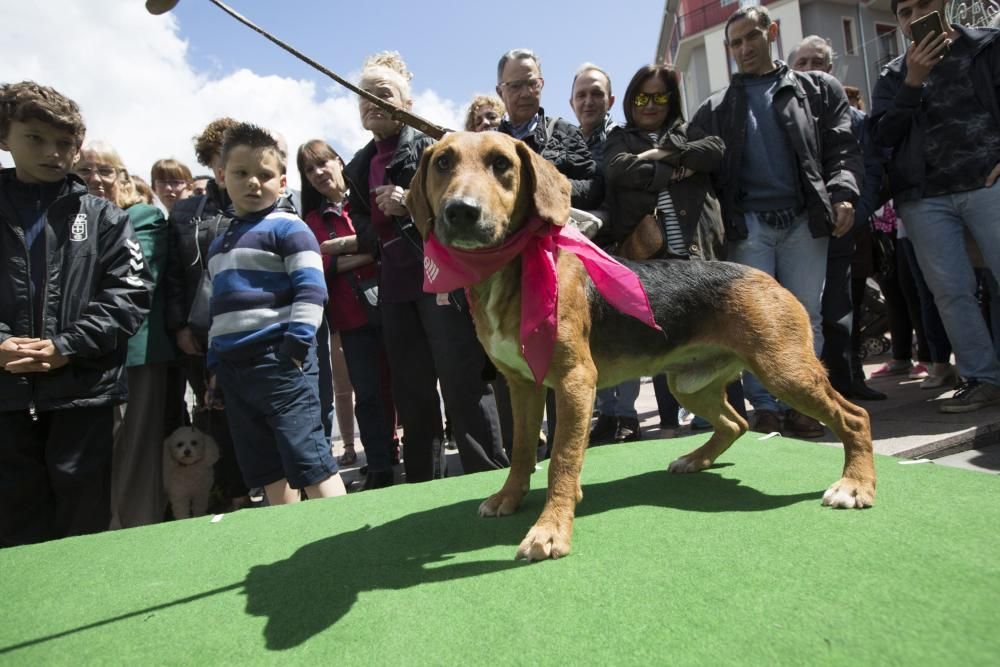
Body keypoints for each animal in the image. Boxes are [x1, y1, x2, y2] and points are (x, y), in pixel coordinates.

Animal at [406, 132, 876, 564]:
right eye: (443, 162)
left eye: (501, 163)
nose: (460, 211)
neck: (511, 269)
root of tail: (766, 277)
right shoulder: (522, 385)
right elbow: (523, 450)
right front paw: (509, 498)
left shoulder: (576, 381)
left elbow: (561, 458)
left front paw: (550, 529)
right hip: (690, 384)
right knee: (736, 422)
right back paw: (695, 459)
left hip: (785, 372)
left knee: (854, 417)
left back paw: (855, 485)